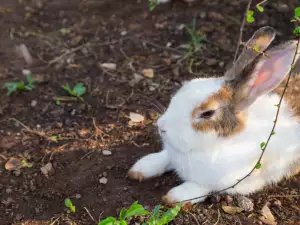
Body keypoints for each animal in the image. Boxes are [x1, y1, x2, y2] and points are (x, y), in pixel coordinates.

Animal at [127, 25, 300, 204]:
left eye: (208, 113)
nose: (162, 127)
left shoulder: (232, 181)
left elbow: (202, 187)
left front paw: (175, 196)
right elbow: (164, 157)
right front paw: (140, 168)